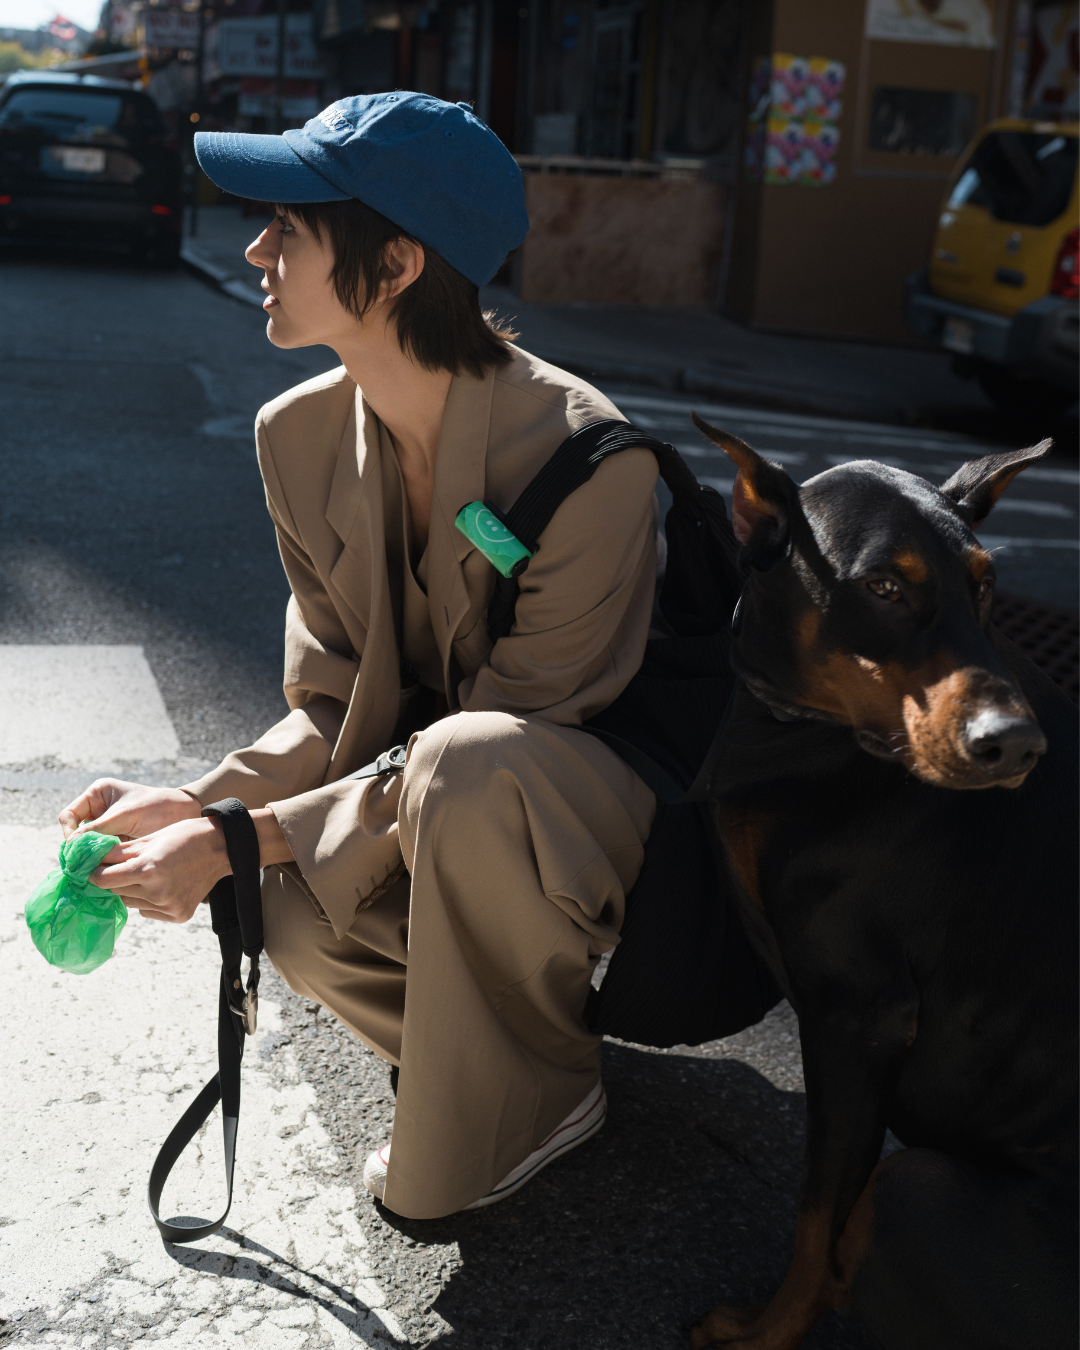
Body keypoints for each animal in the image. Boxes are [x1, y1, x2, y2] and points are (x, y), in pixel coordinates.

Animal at [688, 413, 1074, 1350]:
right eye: (884, 587)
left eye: (987, 585)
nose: (1016, 746)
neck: (803, 728)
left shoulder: (860, 1016)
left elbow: (818, 1216)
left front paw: (766, 1333)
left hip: (918, 1187)